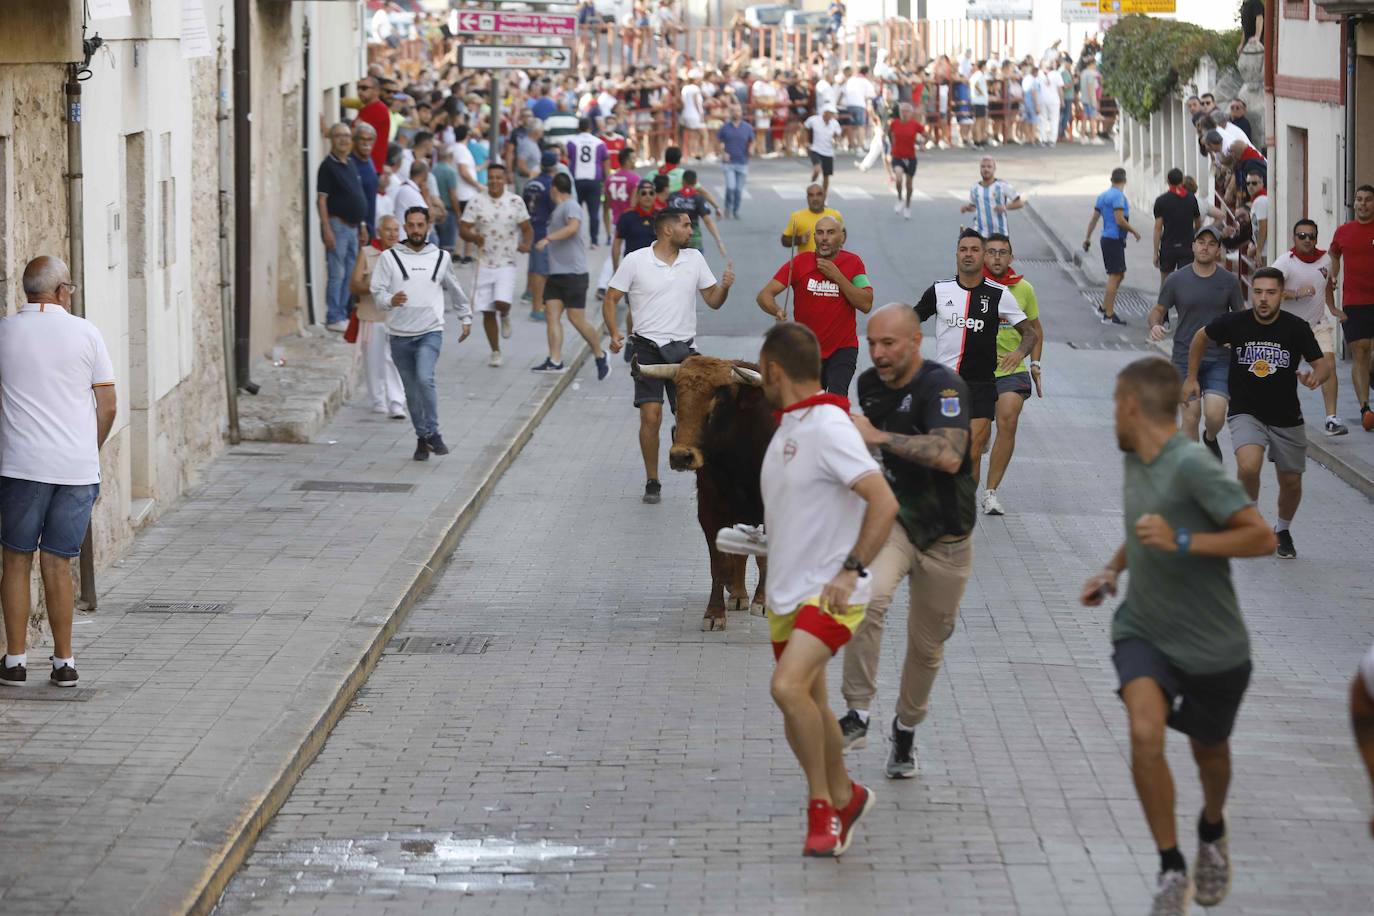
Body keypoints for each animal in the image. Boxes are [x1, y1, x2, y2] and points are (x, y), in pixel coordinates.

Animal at [632, 357, 774, 631]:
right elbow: (718, 563)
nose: (681, 456)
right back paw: (738, 594)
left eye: (719, 400)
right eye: (678, 398)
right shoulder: (710, 511)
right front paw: (714, 613)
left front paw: (763, 601)